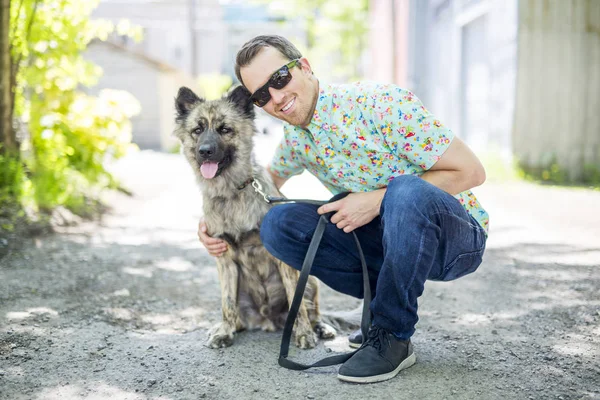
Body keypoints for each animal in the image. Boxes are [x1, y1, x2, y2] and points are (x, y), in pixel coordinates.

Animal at [172, 86, 338, 348]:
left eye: (225, 129)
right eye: (197, 130)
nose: (204, 152)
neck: (232, 193)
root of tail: (267, 321)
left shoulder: (283, 261)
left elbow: (297, 303)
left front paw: (303, 332)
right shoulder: (225, 259)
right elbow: (227, 304)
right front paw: (224, 331)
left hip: (311, 278)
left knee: (313, 309)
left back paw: (320, 327)